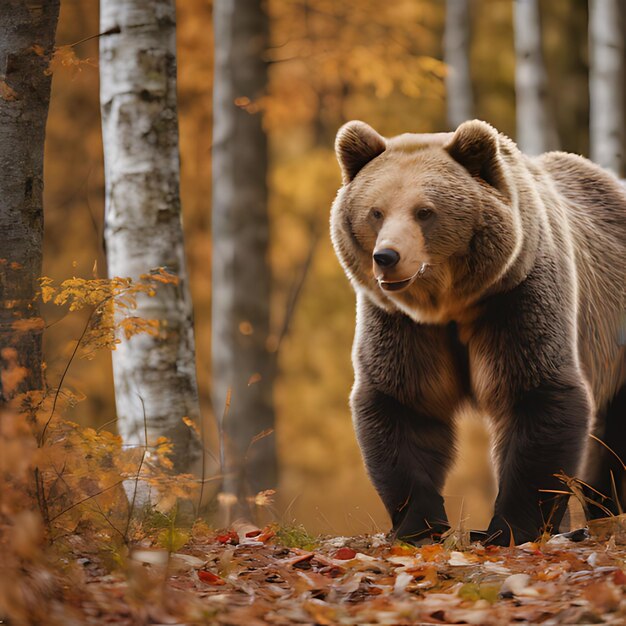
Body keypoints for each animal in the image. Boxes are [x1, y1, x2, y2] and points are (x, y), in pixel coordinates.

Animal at [330, 119, 620, 544]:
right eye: (375, 212)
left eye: (424, 212)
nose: (386, 257)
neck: (452, 304)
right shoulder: (403, 324)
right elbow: (404, 401)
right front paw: (419, 524)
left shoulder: (516, 297)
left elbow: (536, 392)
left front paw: (508, 528)